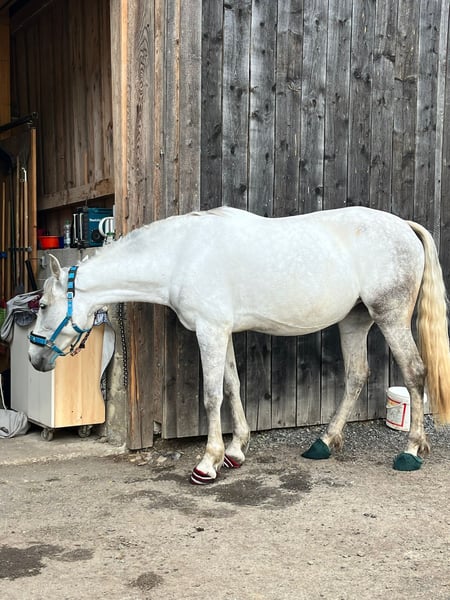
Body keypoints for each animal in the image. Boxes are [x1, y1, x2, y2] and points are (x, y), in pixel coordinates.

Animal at [28, 206, 450, 482]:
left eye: (43, 305)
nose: (34, 357)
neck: (180, 254)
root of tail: (404, 226)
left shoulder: (210, 330)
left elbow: (213, 394)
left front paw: (208, 462)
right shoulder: (221, 331)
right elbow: (232, 385)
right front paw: (234, 452)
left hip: (390, 316)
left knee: (415, 373)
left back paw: (411, 451)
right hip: (355, 320)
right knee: (357, 376)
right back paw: (324, 443)